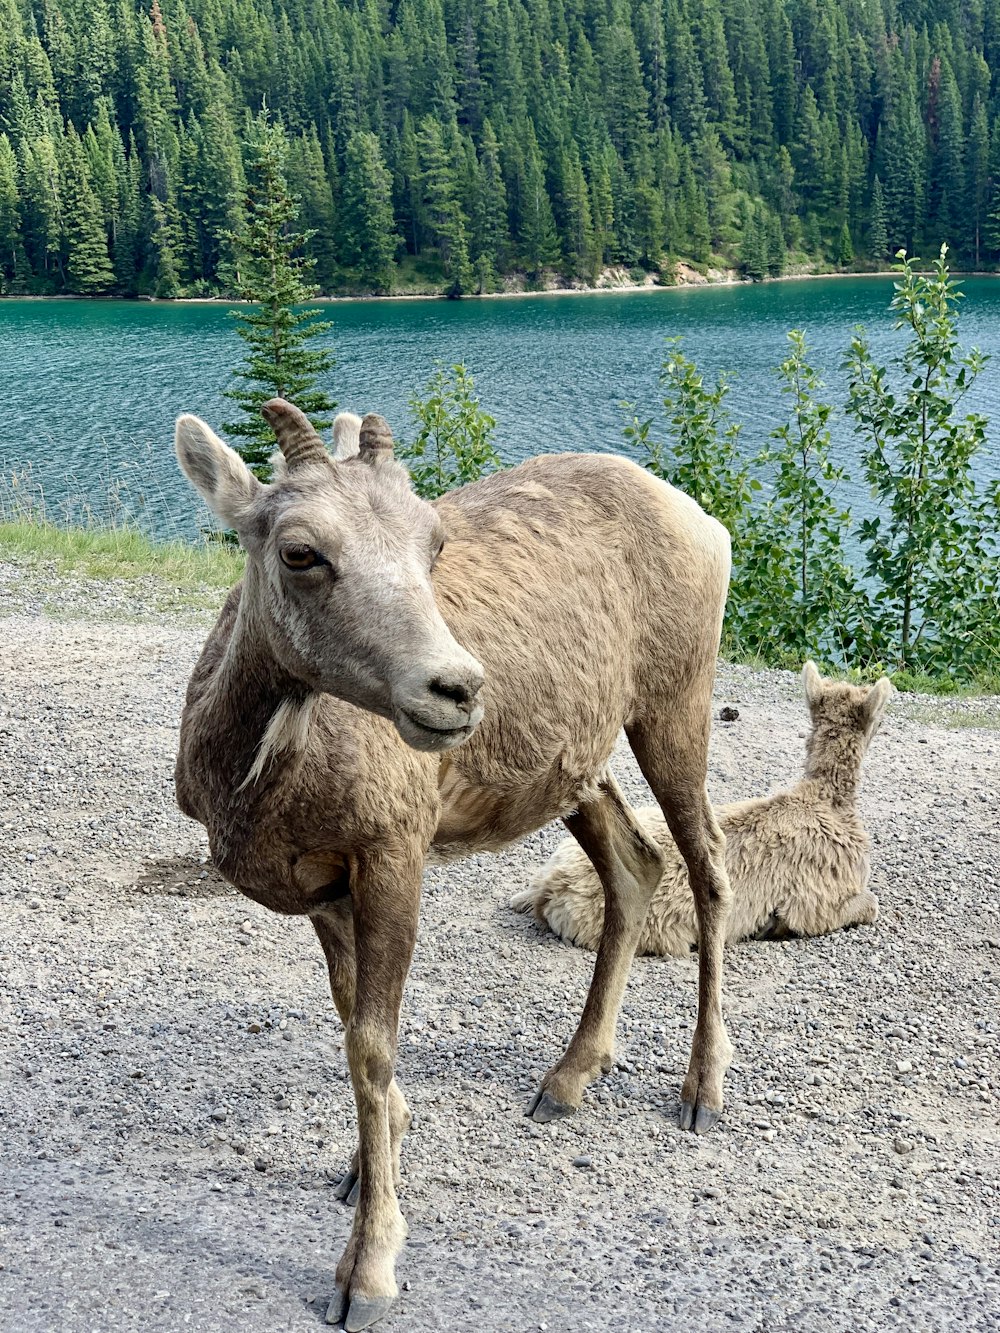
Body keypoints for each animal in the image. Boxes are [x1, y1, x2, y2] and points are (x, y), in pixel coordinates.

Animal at [174, 399, 736, 1327]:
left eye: (432, 541)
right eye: (300, 550)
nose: (457, 689)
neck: (255, 779)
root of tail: (707, 523)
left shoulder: (393, 855)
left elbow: (370, 1046)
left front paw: (366, 1273)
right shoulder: (328, 889)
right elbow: (353, 1026)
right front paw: (363, 1170)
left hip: (673, 706)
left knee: (710, 867)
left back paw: (700, 1093)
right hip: (577, 768)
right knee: (635, 864)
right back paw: (566, 1080)